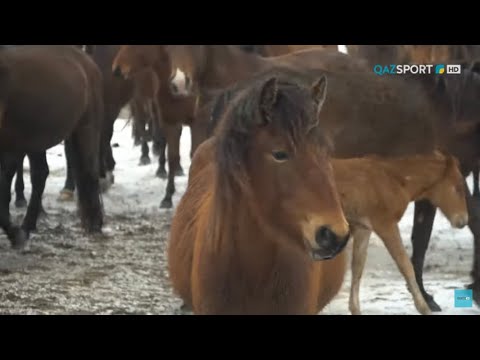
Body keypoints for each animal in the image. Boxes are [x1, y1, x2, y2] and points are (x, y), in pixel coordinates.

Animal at [0, 44, 104, 248]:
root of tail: (86, 62)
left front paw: (15, 235)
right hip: (35, 138)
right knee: (40, 174)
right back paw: (28, 225)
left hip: (86, 127)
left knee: (89, 171)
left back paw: (95, 223)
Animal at [332, 152, 466, 316]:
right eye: (459, 187)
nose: (464, 220)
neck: (393, 180)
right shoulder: (386, 225)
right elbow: (405, 265)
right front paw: (424, 308)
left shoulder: (363, 228)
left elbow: (358, 267)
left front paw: (355, 309)